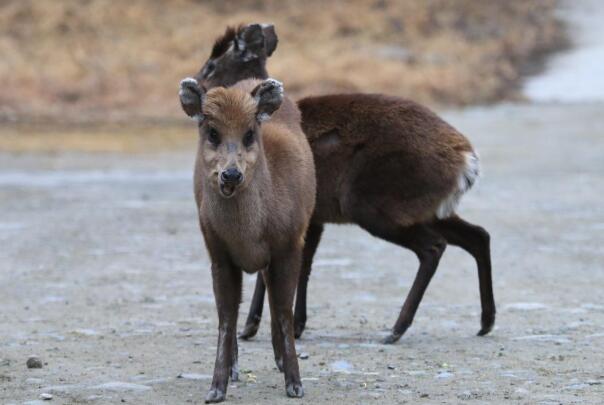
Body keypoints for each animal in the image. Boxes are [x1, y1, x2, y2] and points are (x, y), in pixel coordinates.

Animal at [178, 76, 316, 400]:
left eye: (250, 133)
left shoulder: (290, 243)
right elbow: (226, 316)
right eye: (212, 132)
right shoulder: (217, 251)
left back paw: (279, 360)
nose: (231, 174)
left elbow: (284, 310)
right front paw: (217, 386)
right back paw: (235, 367)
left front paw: (295, 383)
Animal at [193, 22, 496, 344]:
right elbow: (304, 265)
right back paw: (485, 322)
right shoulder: (312, 218)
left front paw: (252, 326)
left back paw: (396, 329)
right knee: (478, 235)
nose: (196, 87)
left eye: (212, 65)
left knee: (434, 247)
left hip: (373, 203)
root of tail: (467, 160)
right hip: (427, 208)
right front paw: (295, 324)